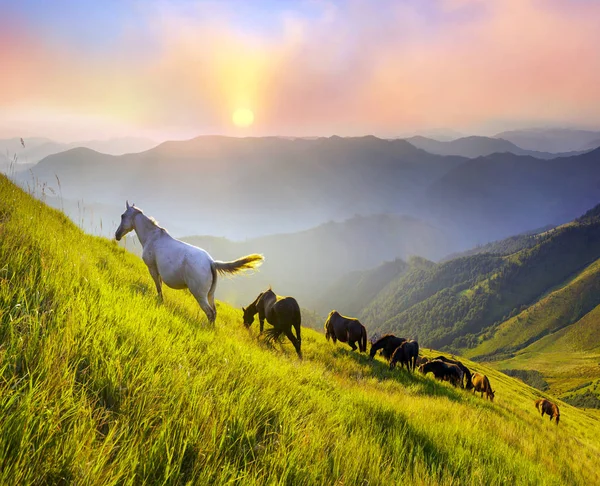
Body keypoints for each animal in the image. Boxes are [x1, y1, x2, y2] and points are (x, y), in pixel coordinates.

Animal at [113, 201, 262, 322]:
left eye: (122, 216)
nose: (117, 235)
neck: (153, 237)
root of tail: (211, 262)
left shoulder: (153, 268)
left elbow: (159, 287)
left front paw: (160, 301)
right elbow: (160, 285)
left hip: (199, 294)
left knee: (210, 313)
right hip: (210, 294)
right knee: (214, 312)